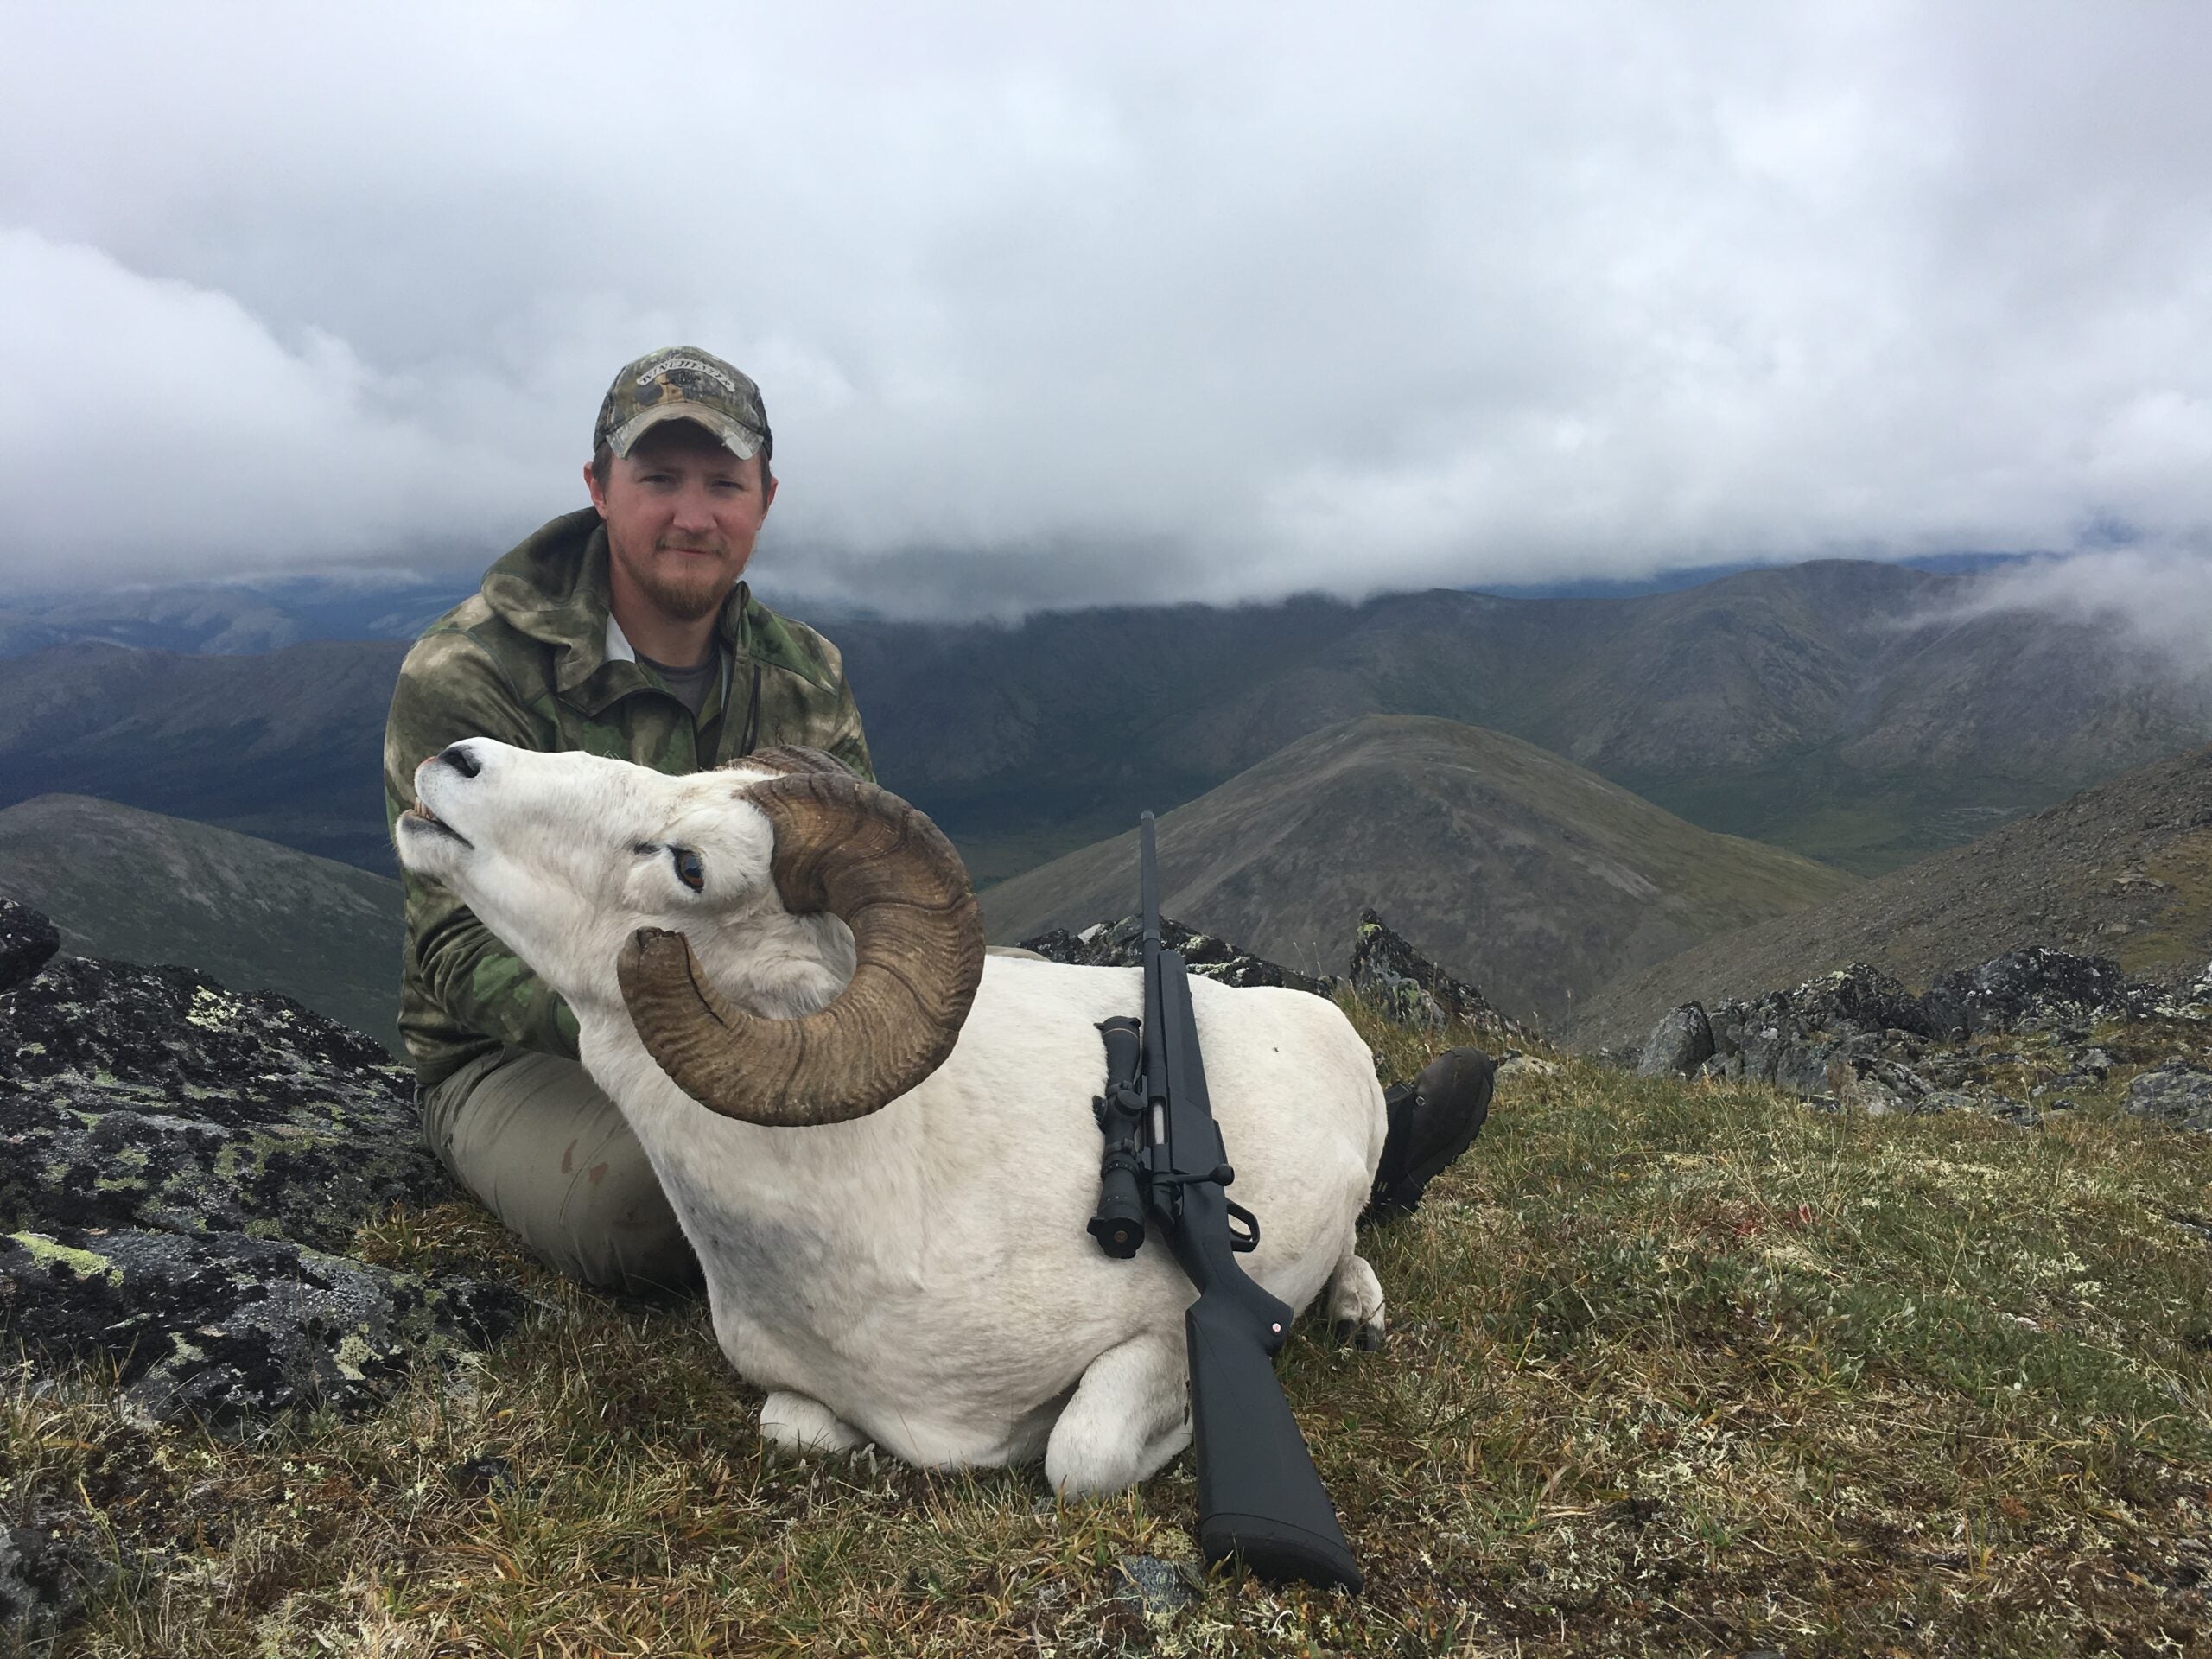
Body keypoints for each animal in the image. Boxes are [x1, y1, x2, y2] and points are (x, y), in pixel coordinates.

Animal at [395, 738, 1389, 1496]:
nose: (457, 760)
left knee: (1351, 1240)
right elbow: (794, 1430)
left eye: (691, 865)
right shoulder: (799, 1398)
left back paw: (1355, 1310)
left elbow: (1080, 1456)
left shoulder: (1160, 1336)